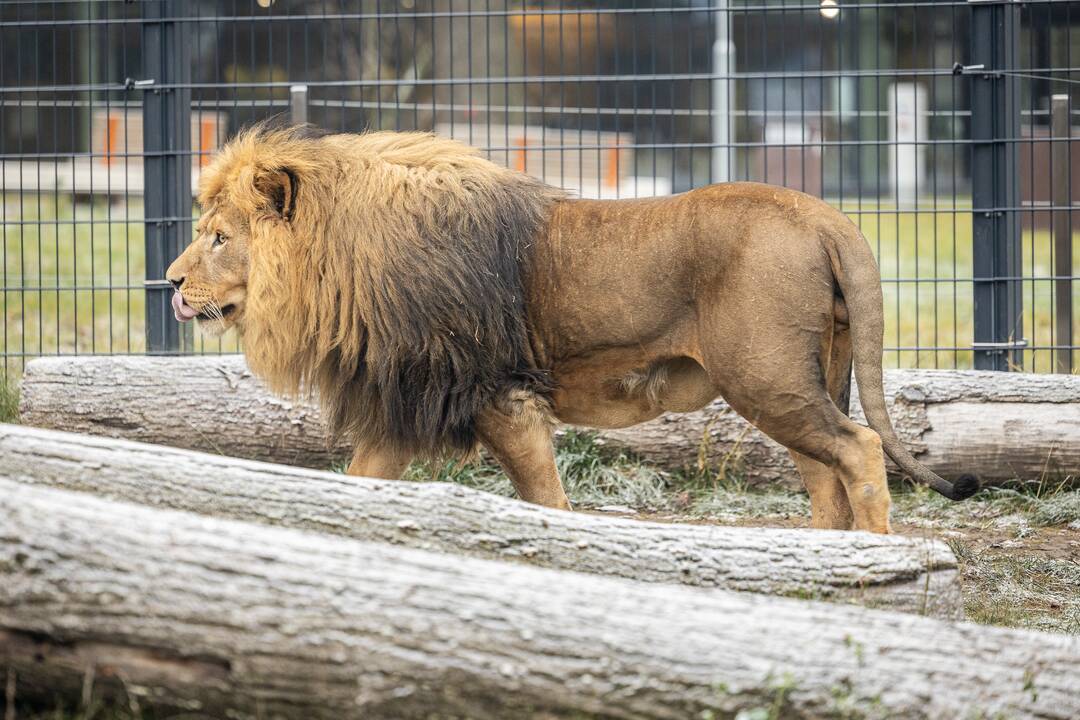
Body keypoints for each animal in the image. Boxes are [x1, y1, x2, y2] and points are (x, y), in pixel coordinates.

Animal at [166, 124, 980, 533]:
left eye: (219, 238)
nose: (170, 285)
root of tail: (827, 216)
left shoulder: (494, 391)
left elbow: (545, 496)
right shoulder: (414, 403)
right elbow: (363, 482)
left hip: (768, 378)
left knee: (861, 450)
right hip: (799, 381)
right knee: (824, 472)